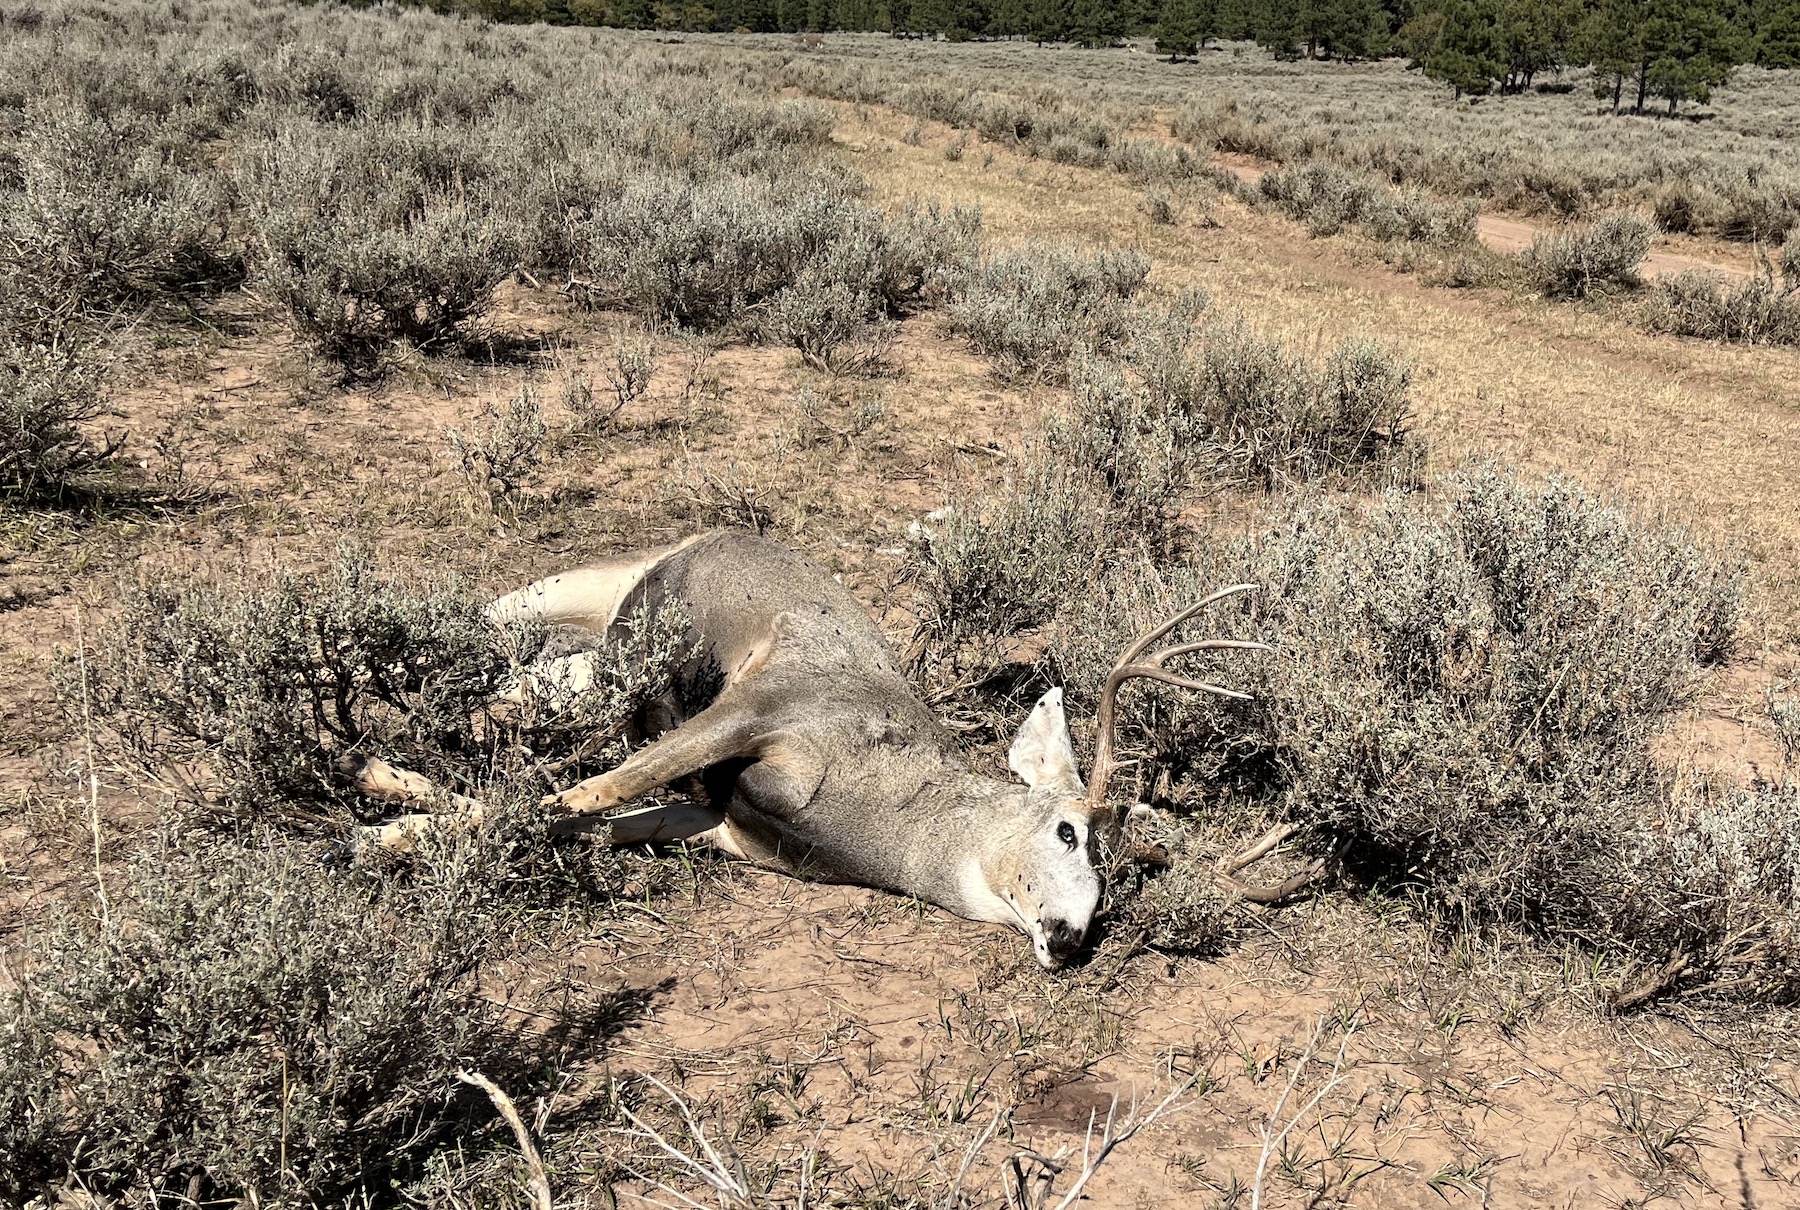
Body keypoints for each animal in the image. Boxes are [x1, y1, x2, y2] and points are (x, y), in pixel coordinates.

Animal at [354, 532, 1310, 972]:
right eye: (1070, 830)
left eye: (1113, 890)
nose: (1070, 937)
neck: (873, 811)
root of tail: (685, 540)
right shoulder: (761, 710)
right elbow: (582, 794)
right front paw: (377, 815)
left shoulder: (722, 823)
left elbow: (586, 818)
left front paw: (387, 823)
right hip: (625, 638)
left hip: (596, 654)